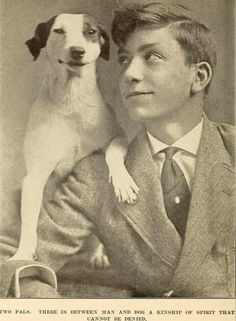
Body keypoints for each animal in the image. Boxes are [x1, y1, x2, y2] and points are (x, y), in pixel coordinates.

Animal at [10, 13, 138, 264]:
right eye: (59, 31)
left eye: (90, 32)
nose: (77, 51)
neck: (72, 100)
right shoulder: (34, 178)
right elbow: (29, 224)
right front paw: (23, 254)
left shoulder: (118, 136)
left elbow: (112, 152)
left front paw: (123, 182)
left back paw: (98, 253)